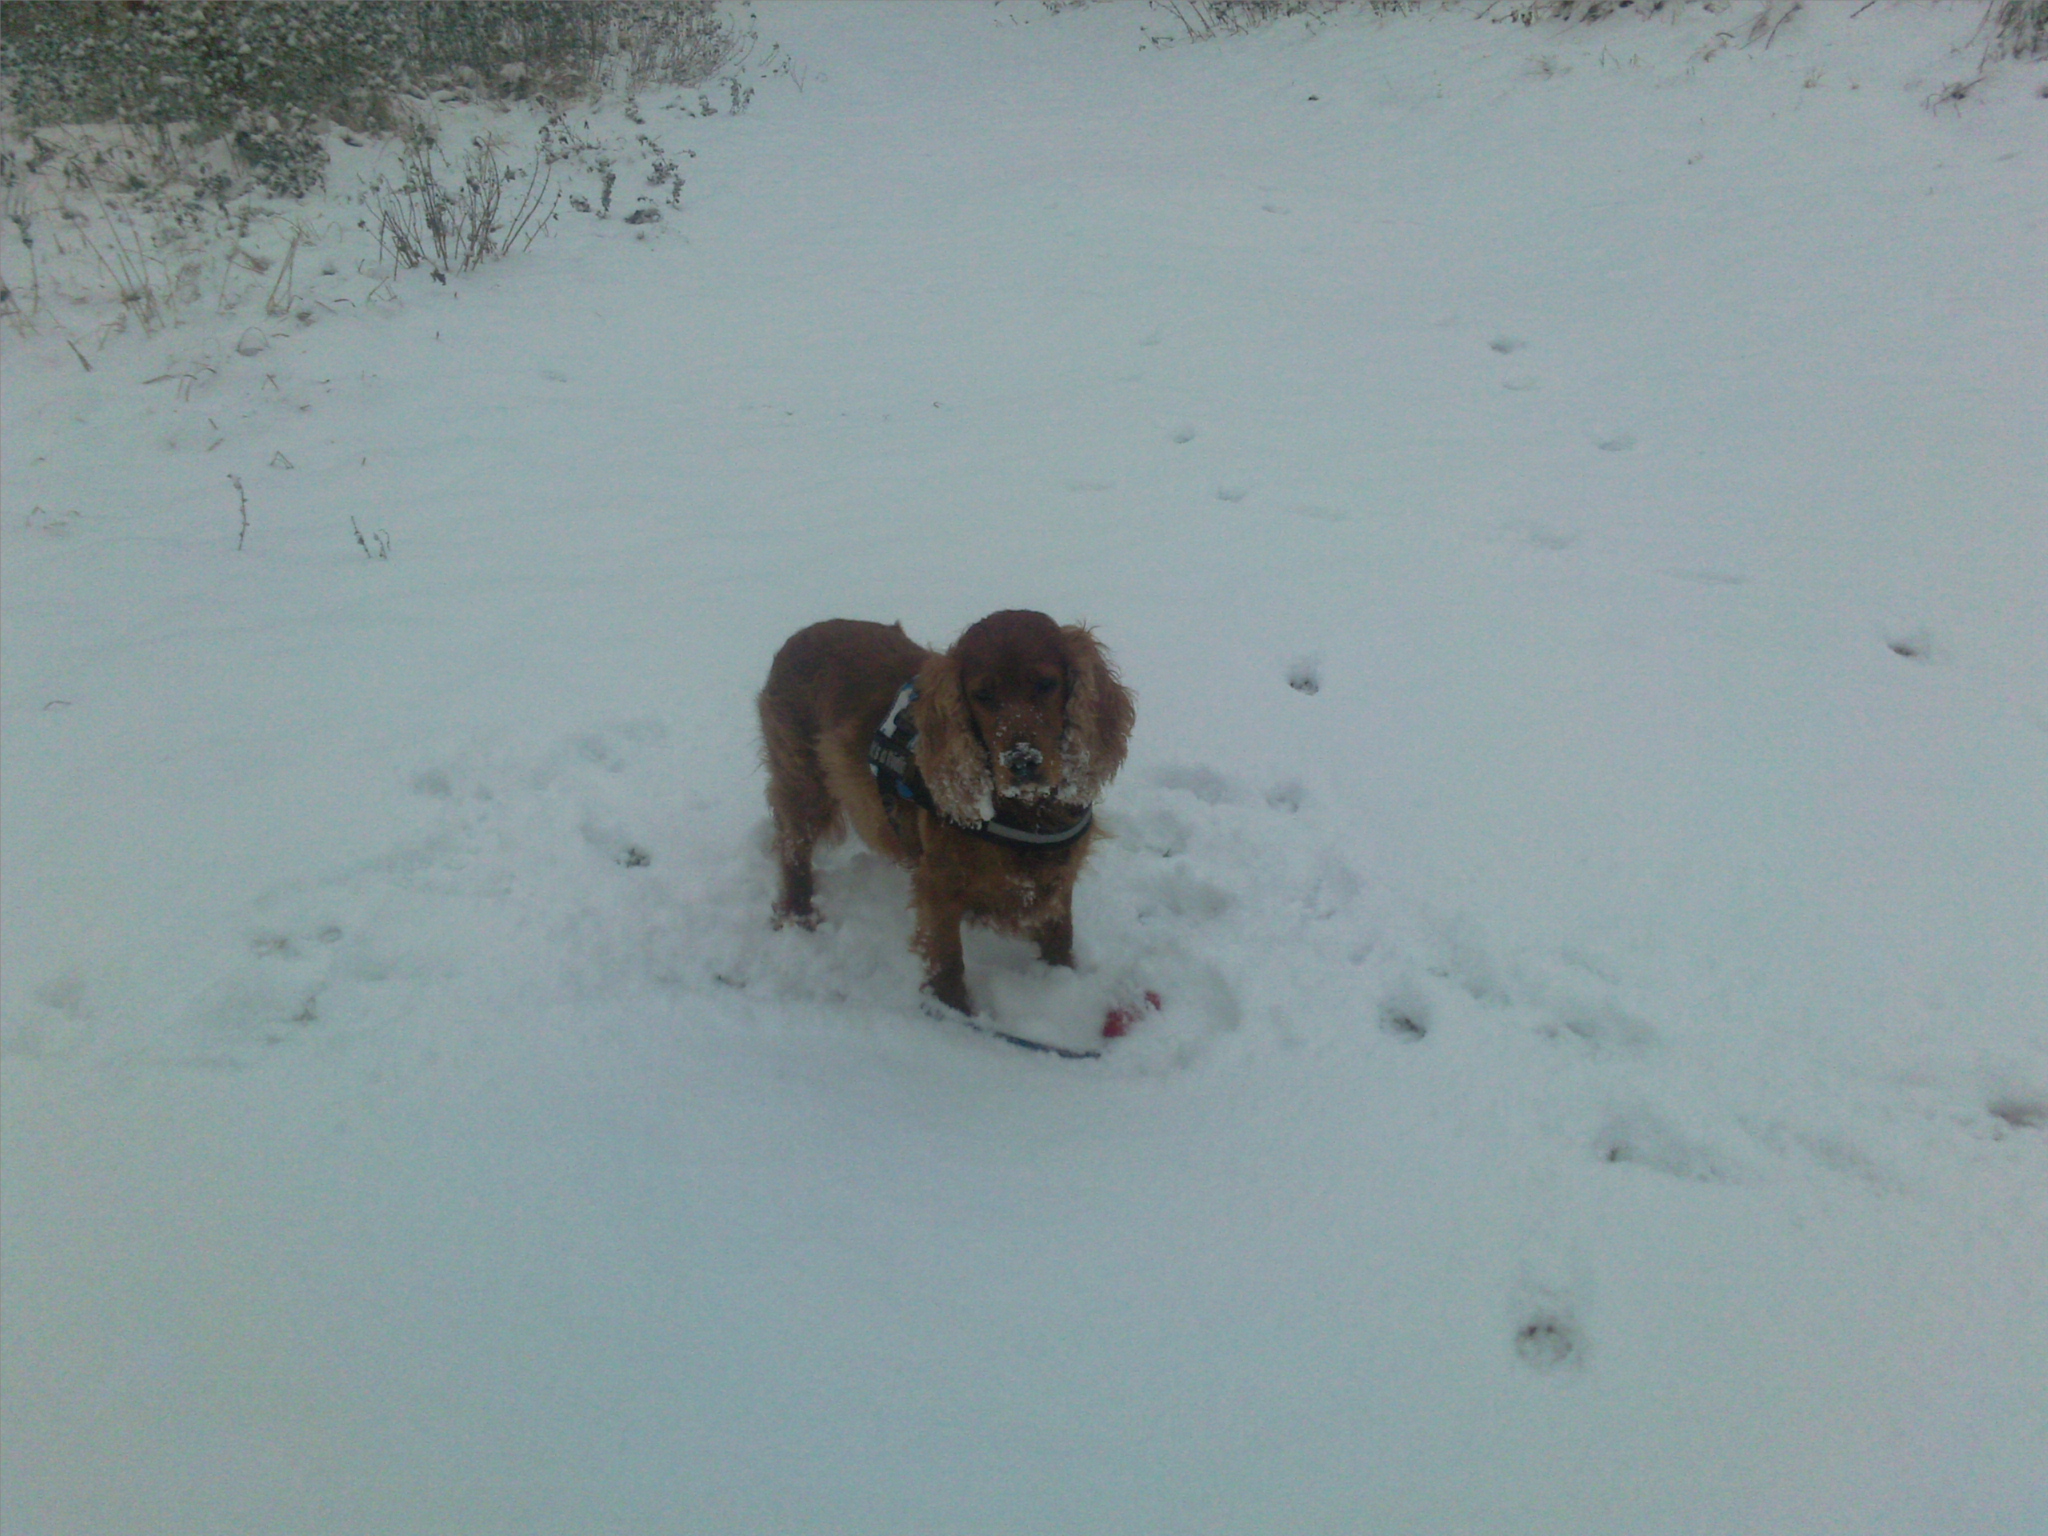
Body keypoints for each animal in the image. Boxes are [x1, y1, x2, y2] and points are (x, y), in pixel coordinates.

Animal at [758, 610, 1134, 1016]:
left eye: (1046, 684)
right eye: (982, 695)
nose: (1022, 762)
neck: (1027, 812)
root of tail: (801, 635)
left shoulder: (1058, 878)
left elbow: (1060, 936)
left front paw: (1062, 980)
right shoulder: (938, 884)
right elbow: (947, 958)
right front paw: (954, 1014)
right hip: (802, 781)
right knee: (793, 849)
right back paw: (798, 913)